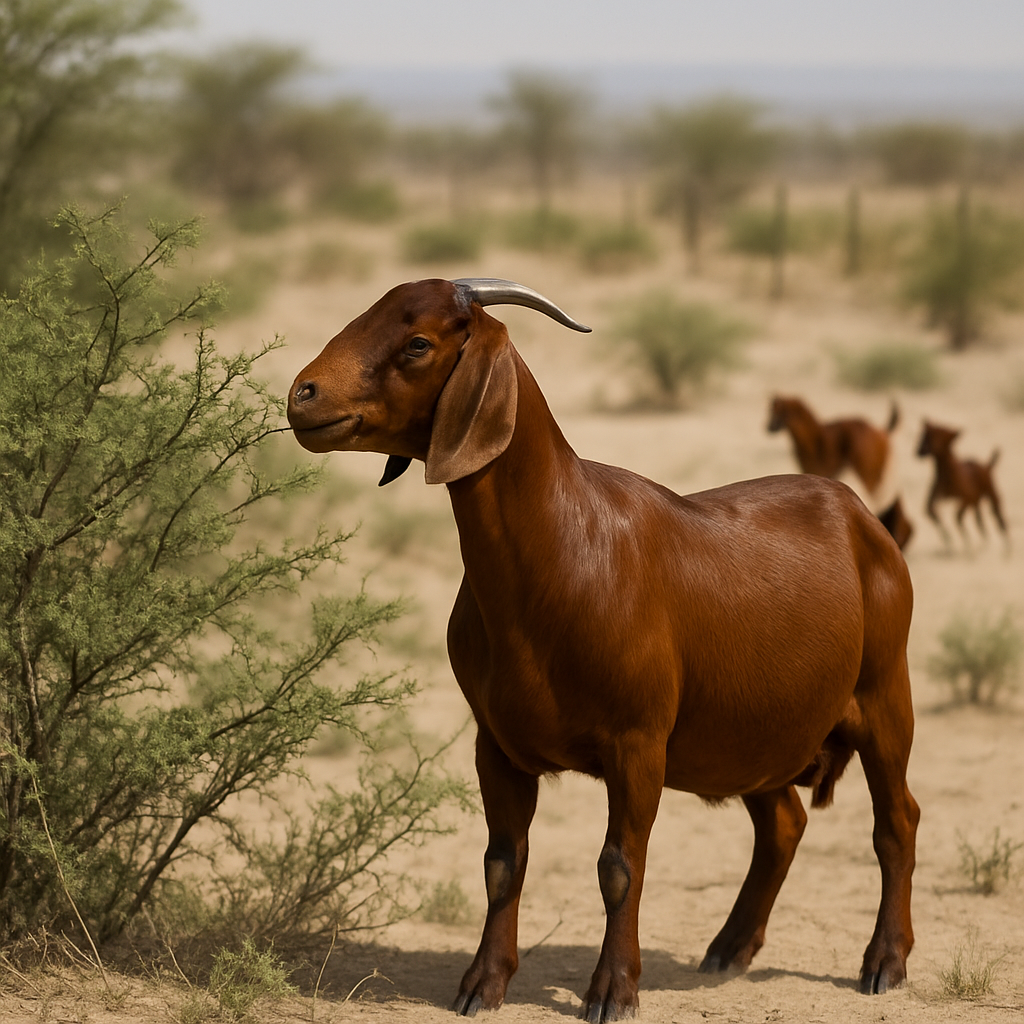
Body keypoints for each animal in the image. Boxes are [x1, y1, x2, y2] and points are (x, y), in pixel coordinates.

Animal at [768, 395, 898, 495]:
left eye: (782, 412)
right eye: (771, 411)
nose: (768, 427)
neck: (815, 439)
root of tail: (880, 431)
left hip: (869, 476)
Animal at [916, 420, 1008, 549]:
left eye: (937, 437)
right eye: (924, 437)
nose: (918, 452)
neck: (947, 473)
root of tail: (986, 465)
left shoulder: (966, 498)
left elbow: (957, 517)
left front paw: (963, 539)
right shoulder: (940, 495)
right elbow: (930, 510)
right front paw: (947, 536)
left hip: (991, 493)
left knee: (998, 517)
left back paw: (1006, 544)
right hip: (976, 501)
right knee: (980, 520)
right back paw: (984, 539)